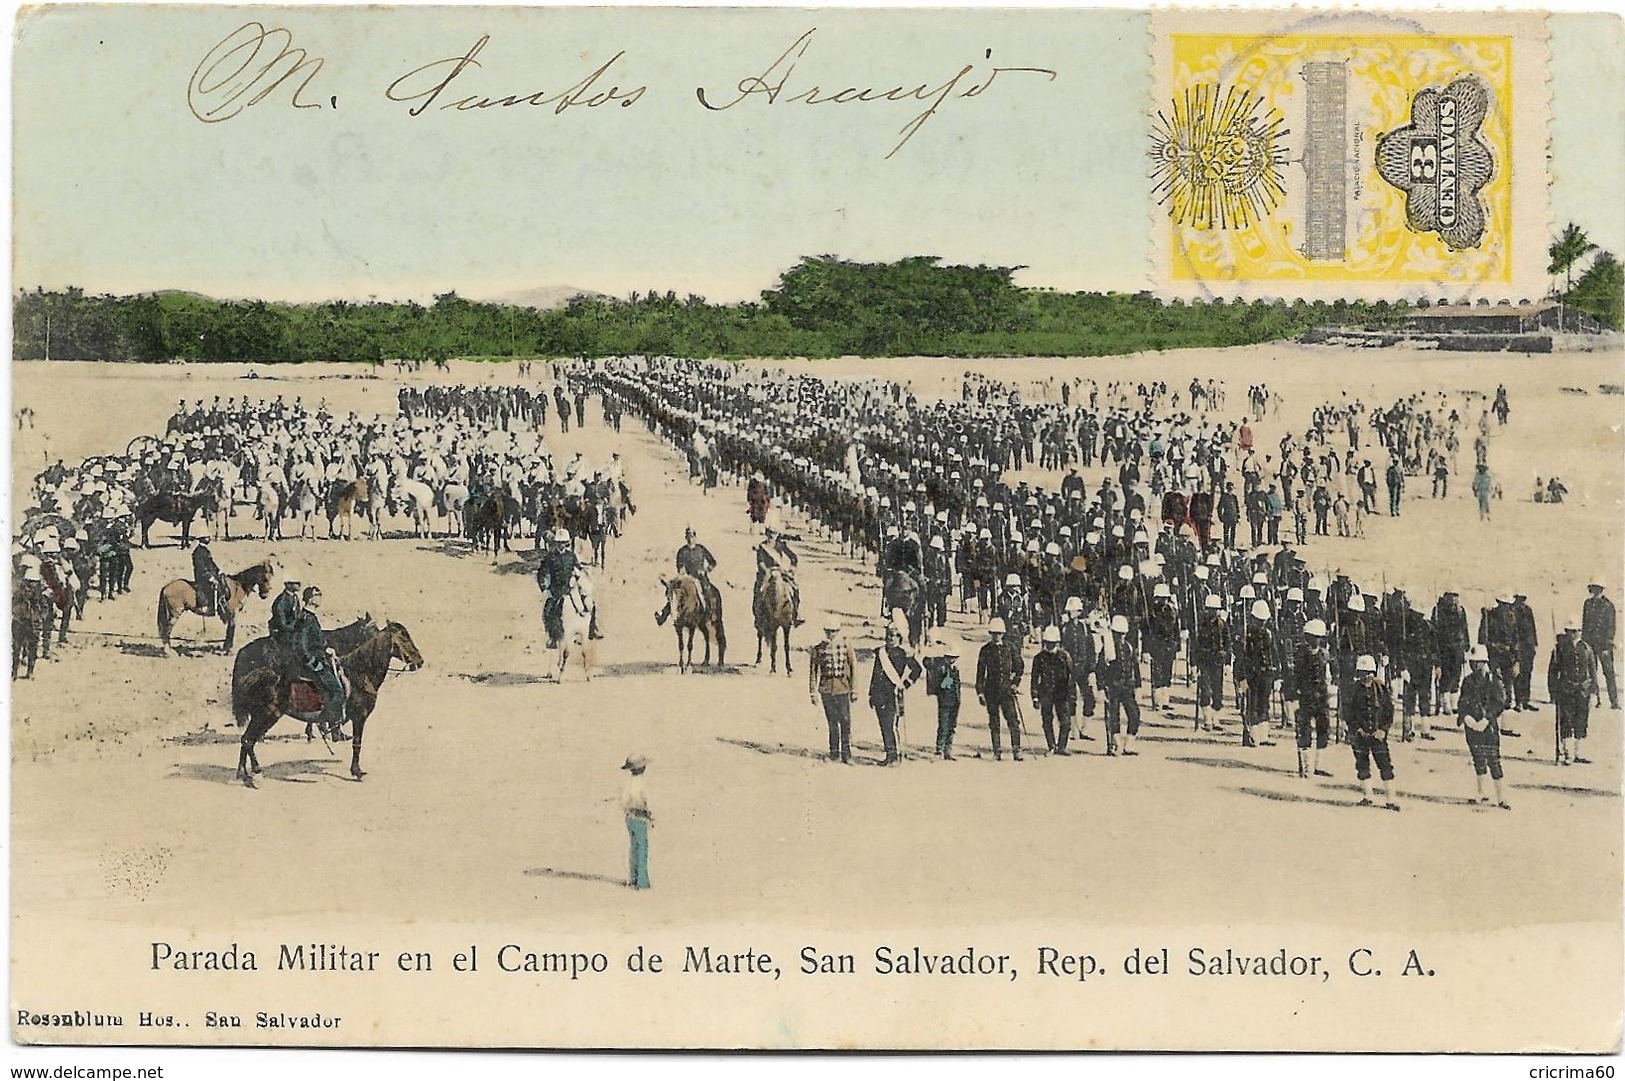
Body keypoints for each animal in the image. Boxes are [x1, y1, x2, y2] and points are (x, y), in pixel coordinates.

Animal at [235, 620, 429, 790]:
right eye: (404, 637)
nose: (419, 661)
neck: (360, 674)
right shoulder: (360, 717)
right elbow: (357, 743)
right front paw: (357, 772)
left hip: (260, 716)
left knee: (245, 740)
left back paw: (242, 774)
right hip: (267, 715)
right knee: (248, 740)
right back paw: (256, 774)